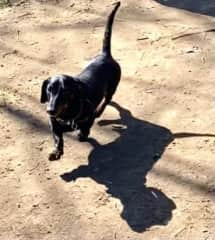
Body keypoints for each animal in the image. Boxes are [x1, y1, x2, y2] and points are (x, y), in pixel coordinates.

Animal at [40, 2, 121, 161]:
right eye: (49, 89)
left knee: (107, 100)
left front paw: (82, 134)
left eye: (65, 91)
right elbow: (58, 137)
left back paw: (99, 112)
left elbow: (86, 126)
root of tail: (105, 55)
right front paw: (56, 151)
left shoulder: (88, 116)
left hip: (112, 87)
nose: (50, 110)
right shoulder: (54, 123)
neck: (66, 115)